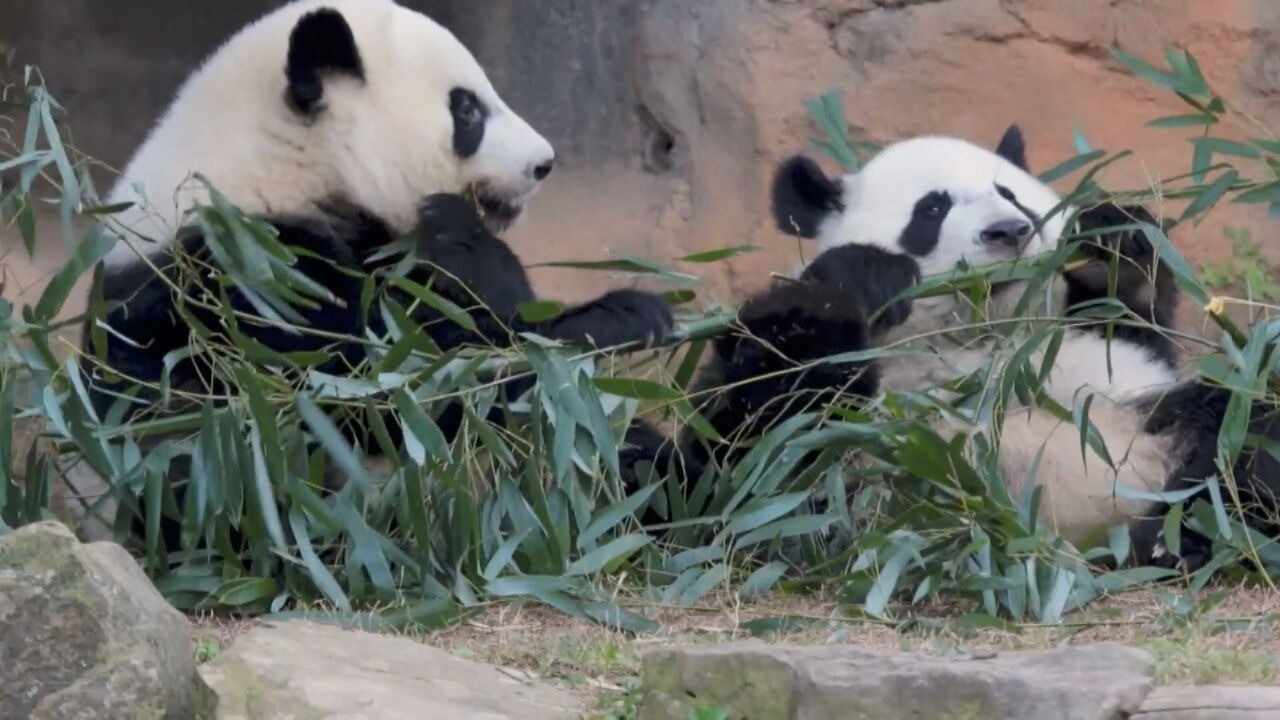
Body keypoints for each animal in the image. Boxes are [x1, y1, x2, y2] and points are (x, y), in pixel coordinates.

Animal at [69, 0, 673, 538]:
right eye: (467, 110)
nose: (543, 163)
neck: (284, 165)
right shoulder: (239, 280)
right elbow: (404, 388)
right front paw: (614, 315)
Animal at [629, 125, 1279, 571]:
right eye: (933, 208)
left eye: (1010, 194)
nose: (1008, 232)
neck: (973, 337)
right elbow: (750, 455)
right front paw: (861, 277)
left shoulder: (1092, 359)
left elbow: (1131, 323)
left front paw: (1114, 241)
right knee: (650, 478)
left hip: (1151, 428)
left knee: (1242, 428)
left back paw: (1189, 531)